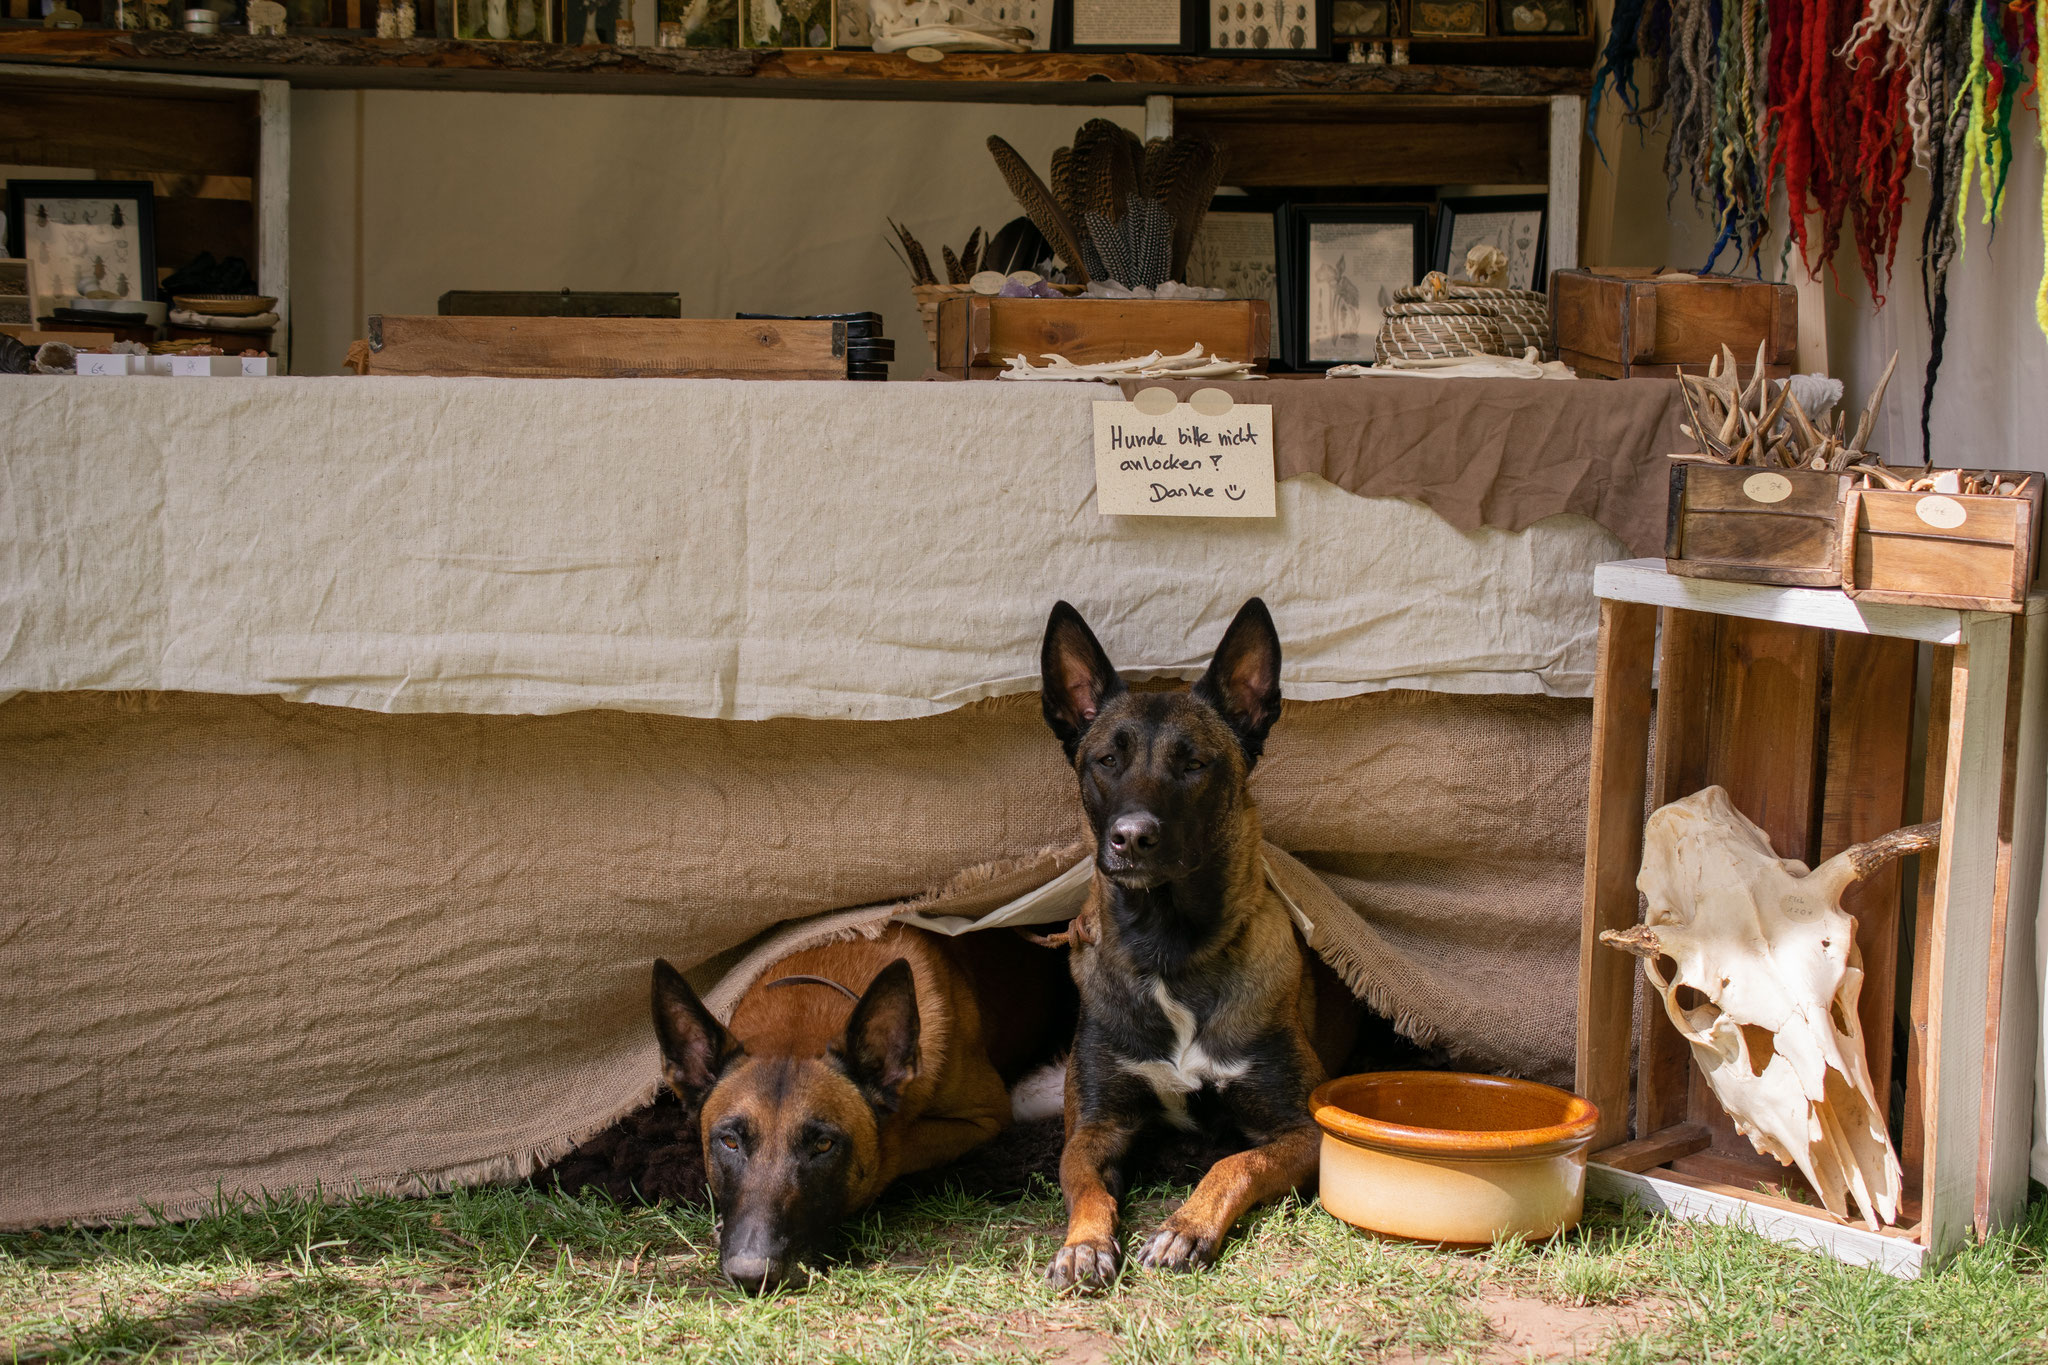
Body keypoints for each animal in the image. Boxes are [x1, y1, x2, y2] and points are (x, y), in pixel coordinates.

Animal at [655, 925, 1073, 1285]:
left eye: (824, 1145)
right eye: (729, 1142)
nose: (752, 1274)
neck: (802, 1011)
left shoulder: (984, 1118)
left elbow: (897, 1146)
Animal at [1040, 597, 1343, 1293]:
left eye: (1194, 763)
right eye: (1107, 760)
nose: (1132, 837)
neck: (1168, 952)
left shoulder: (1304, 1130)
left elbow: (1235, 1164)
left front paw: (1185, 1227)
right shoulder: (1094, 1128)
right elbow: (1086, 1187)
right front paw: (1084, 1245)